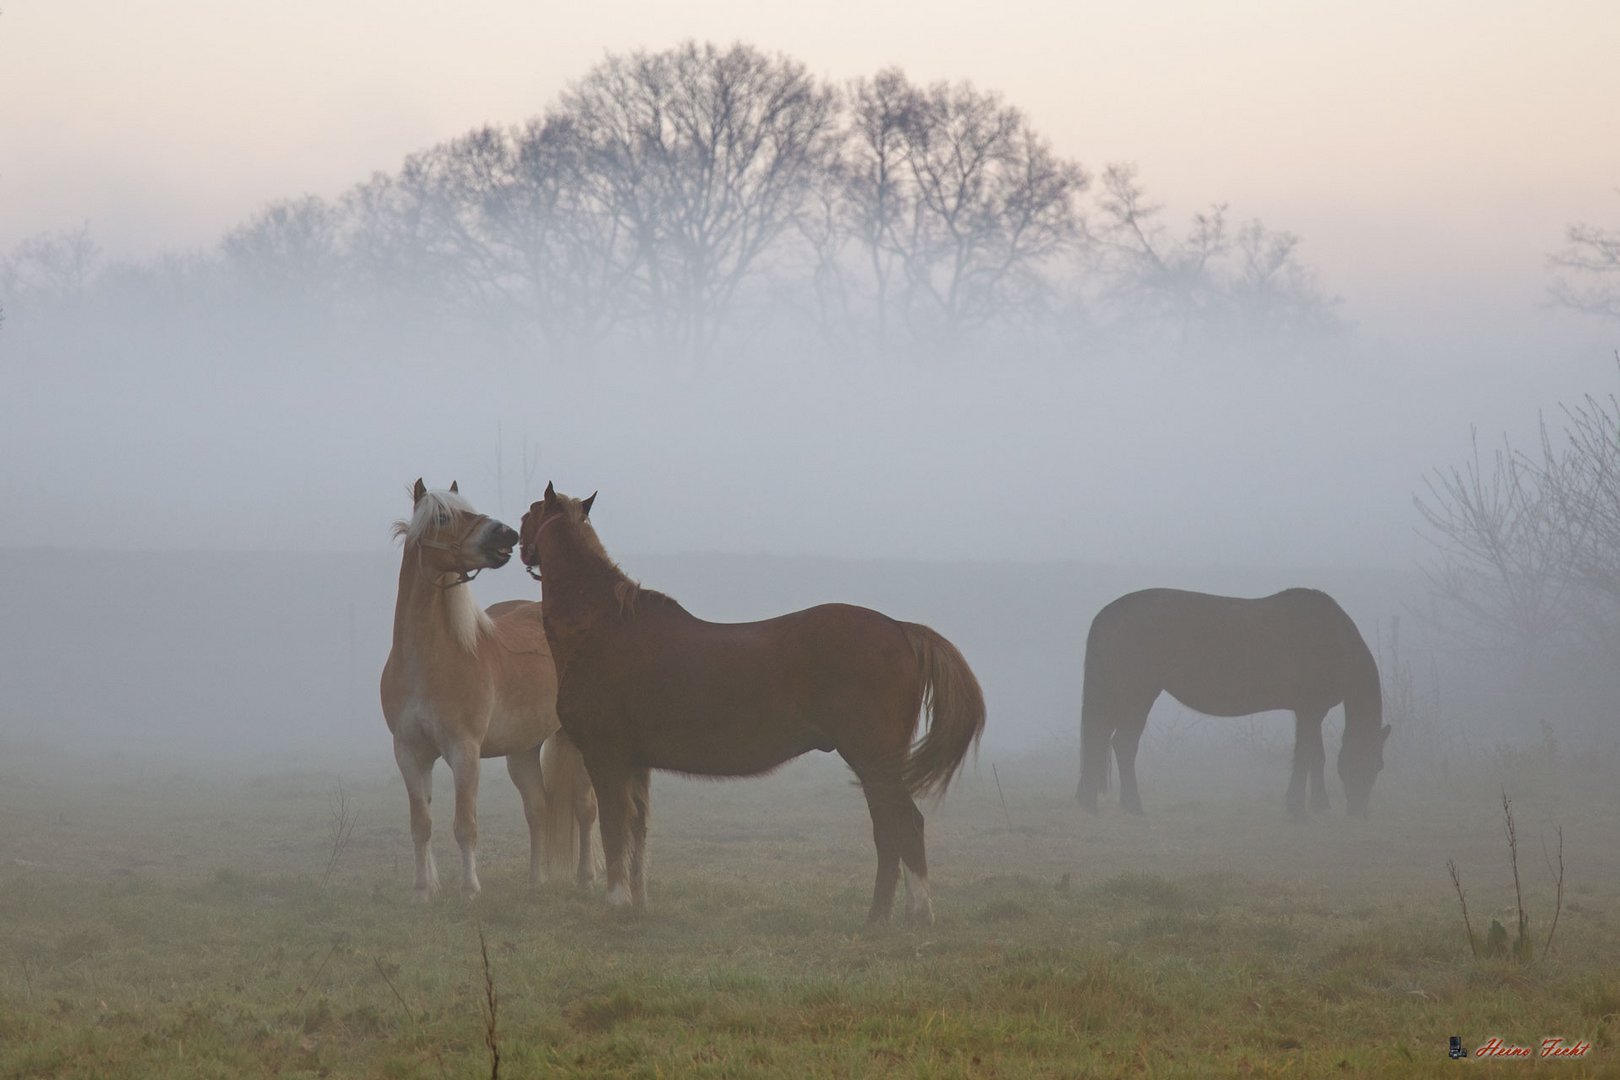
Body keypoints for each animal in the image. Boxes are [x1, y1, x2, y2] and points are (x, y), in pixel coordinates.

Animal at [379, 482, 596, 906]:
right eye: (443, 516)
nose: (506, 535)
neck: (424, 662)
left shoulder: (464, 752)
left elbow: (465, 825)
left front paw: (469, 890)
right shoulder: (409, 753)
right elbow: (421, 823)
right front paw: (422, 891)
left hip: (575, 741)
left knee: (584, 808)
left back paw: (587, 879)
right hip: (522, 750)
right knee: (538, 809)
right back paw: (535, 882)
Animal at [518, 485, 984, 926]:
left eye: (528, 514)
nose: (519, 545)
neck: (602, 628)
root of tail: (902, 630)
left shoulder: (606, 756)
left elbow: (615, 826)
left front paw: (615, 903)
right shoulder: (635, 762)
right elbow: (637, 829)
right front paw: (637, 903)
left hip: (874, 758)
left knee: (901, 825)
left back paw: (907, 913)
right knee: (894, 829)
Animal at [1075, 592, 1393, 819]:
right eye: (1372, 763)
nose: (1358, 812)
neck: (1337, 640)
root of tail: (1108, 614)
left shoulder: (1310, 712)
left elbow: (1316, 756)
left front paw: (1319, 804)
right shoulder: (1310, 710)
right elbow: (1305, 756)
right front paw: (1297, 807)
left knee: (1100, 740)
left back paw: (1090, 802)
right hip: (1137, 694)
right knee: (1123, 744)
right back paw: (1133, 805)